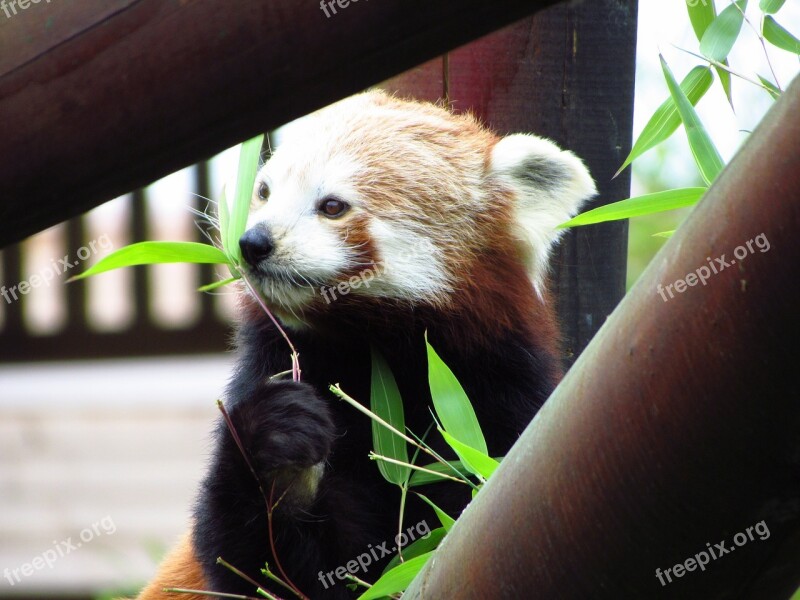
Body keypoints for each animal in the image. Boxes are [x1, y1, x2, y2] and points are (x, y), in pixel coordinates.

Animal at [138, 90, 596, 600]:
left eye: (333, 206)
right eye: (264, 192)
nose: (253, 242)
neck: (371, 353)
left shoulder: (501, 397)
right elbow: (256, 566)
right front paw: (278, 445)